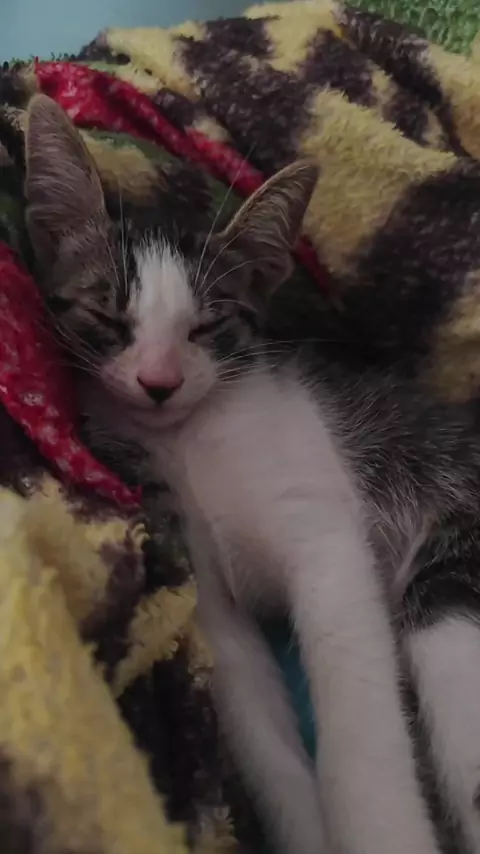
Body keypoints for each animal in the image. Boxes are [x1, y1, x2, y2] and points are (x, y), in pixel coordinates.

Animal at [24, 93, 480, 854]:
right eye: (108, 316)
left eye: (207, 327)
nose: (159, 383)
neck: (188, 440)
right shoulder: (204, 590)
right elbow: (262, 736)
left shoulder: (323, 534)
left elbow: (356, 718)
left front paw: (378, 829)